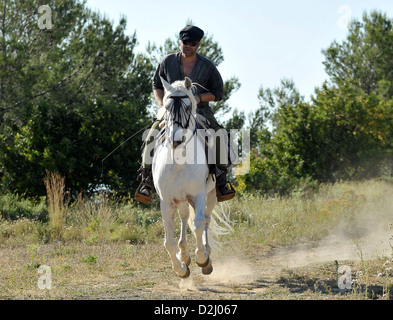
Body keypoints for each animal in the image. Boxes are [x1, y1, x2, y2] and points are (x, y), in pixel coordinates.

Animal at [151, 77, 230, 278]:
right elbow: (168, 242)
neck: (178, 161)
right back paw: (184, 255)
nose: (175, 140)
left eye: (188, 107)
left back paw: (206, 254)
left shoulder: (199, 195)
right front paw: (181, 269)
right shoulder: (166, 201)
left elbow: (198, 225)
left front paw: (202, 260)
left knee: (206, 220)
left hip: (211, 195)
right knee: (184, 217)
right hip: (181, 199)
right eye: (167, 107)